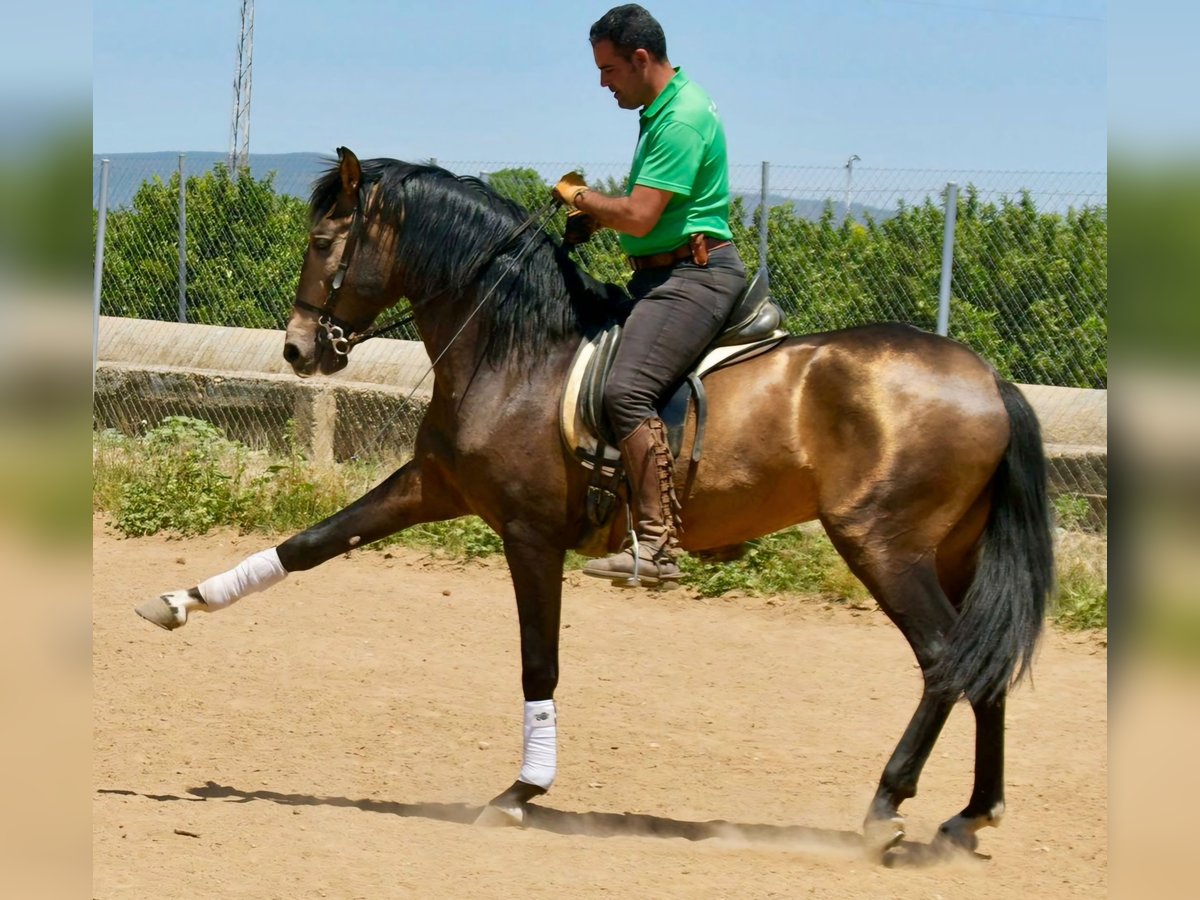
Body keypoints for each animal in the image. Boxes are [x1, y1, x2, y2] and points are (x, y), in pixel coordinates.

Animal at [140, 150, 1056, 868]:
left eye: (325, 242)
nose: (299, 350)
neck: (517, 351)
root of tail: (987, 378)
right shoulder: (432, 486)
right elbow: (309, 544)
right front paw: (181, 601)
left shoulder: (529, 534)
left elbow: (537, 665)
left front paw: (521, 791)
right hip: (949, 552)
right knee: (982, 661)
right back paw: (971, 815)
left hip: (881, 543)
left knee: (945, 659)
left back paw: (886, 809)